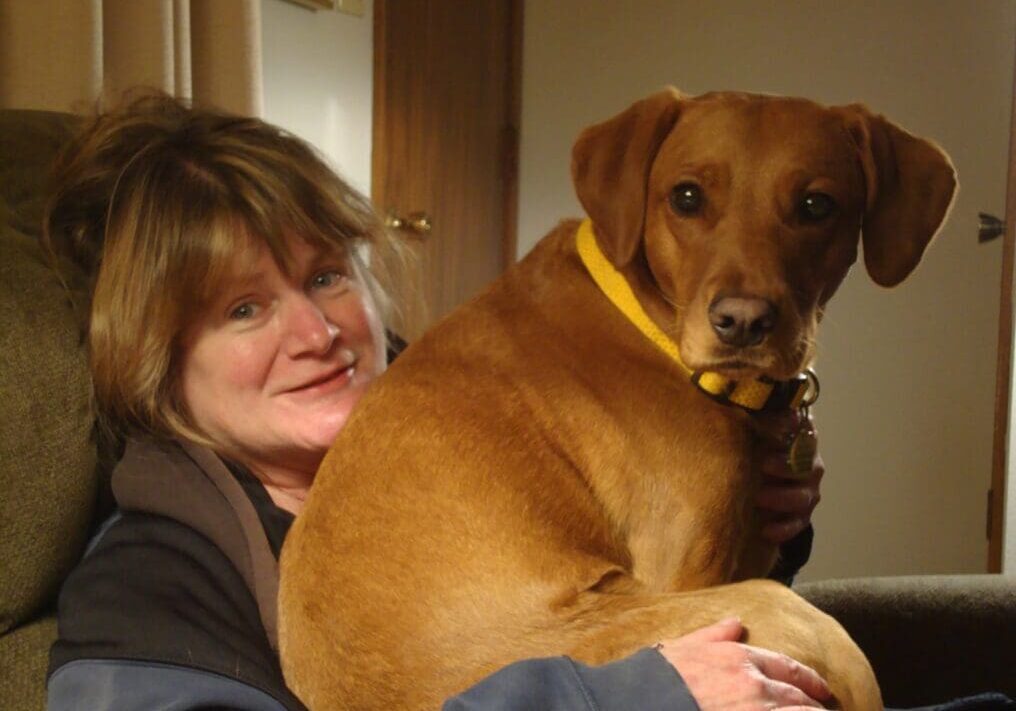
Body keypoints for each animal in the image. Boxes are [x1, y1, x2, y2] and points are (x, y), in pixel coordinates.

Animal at [276, 90, 950, 711]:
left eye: (816, 206)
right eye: (686, 198)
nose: (743, 323)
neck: (651, 325)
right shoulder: (693, 570)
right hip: (790, 615)